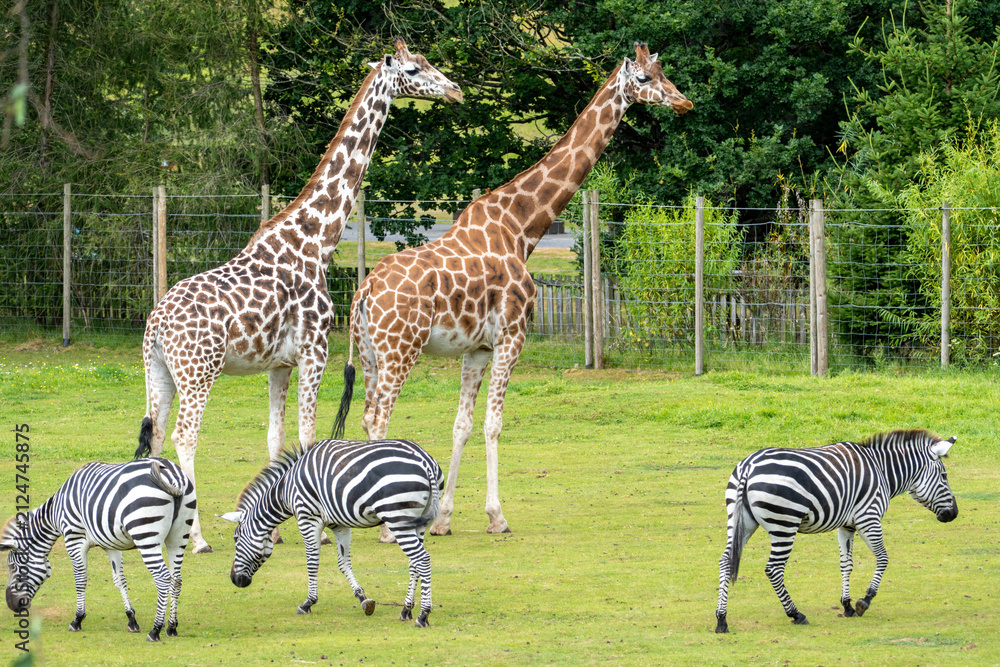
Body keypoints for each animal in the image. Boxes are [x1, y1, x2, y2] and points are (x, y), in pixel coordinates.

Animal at [1, 457, 196, 642]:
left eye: (12, 567)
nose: (11, 605)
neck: (57, 511)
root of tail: (171, 474)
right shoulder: (111, 544)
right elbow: (119, 580)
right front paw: (131, 619)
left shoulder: (74, 538)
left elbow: (80, 579)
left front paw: (77, 619)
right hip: (178, 536)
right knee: (176, 579)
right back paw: (171, 627)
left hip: (146, 535)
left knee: (163, 578)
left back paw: (156, 629)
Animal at [136, 39, 462, 553]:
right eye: (413, 70)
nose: (455, 91)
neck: (316, 240)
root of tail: (155, 325)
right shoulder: (316, 351)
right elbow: (309, 436)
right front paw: (322, 528)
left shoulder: (280, 364)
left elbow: (276, 436)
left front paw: (280, 522)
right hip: (198, 371)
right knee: (185, 437)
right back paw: (198, 538)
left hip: (159, 372)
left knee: (155, 435)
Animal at [220, 438, 444, 627]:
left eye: (236, 539)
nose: (234, 580)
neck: (285, 489)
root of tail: (425, 460)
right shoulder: (339, 524)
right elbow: (343, 563)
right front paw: (363, 599)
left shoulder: (307, 518)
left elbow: (312, 561)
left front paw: (308, 603)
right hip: (417, 521)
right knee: (414, 563)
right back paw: (406, 610)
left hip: (397, 516)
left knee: (422, 559)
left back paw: (423, 615)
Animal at [333, 43, 692, 538]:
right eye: (643, 79)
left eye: (663, 72)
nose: (683, 102)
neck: (521, 227)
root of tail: (363, 292)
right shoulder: (513, 337)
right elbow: (494, 423)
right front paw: (496, 516)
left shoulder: (477, 348)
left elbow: (462, 425)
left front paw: (444, 519)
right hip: (401, 349)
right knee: (378, 416)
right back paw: (389, 526)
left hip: (369, 353)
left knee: (368, 413)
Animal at [714, 429, 958, 633]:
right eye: (944, 476)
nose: (954, 514)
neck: (882, 470)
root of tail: (749, 465)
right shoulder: (869, 518)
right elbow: (883, 558)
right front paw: (864, 601)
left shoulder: (847, 525)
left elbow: (846, 564)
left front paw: (847, 605)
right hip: (784, 523)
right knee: (773, 569)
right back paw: (796, 614)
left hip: (741, 520)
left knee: (726, 561)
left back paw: (721, 619)